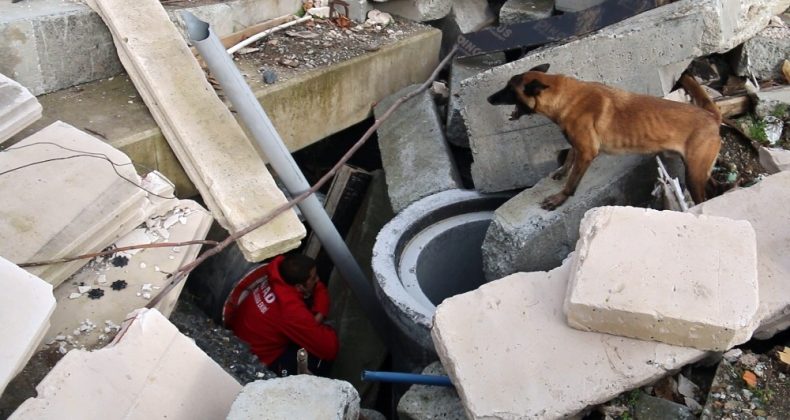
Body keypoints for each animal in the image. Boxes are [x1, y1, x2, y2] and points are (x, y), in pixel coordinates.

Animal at [486, 64, 720, 210]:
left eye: (509, 89)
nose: (488, 98)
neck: (564, 96)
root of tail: (711, 116)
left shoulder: (587, 151)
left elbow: (572, 182)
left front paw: (560, 198)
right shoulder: (578, 144)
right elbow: (569, 155)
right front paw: (562, 170)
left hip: (693, 174)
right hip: (698, 170)